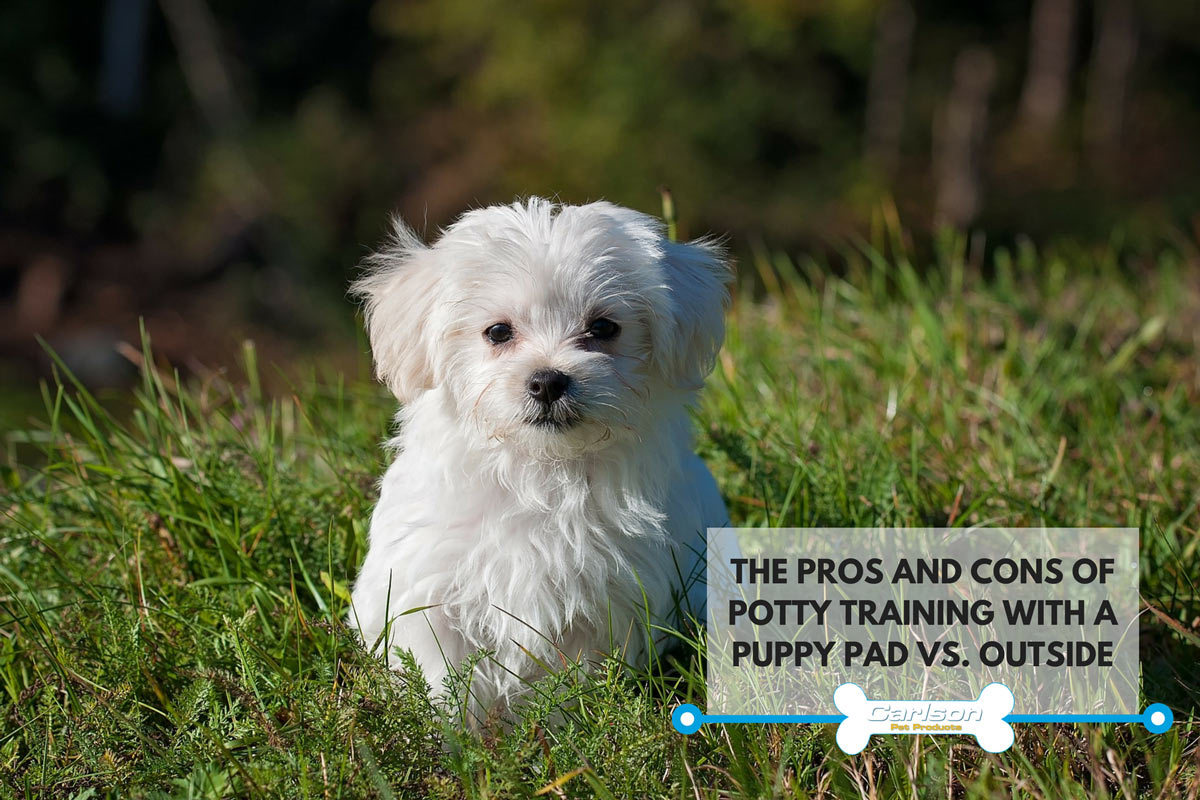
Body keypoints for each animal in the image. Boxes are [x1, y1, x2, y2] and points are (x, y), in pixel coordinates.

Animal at [350, 196, 729, 714]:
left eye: (603, 327)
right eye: (497, 332)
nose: (548, 380)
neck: (542, 472)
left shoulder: (606, 604)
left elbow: (574, 683)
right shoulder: (428, 592)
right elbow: (441, 678)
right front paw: (448, 732)